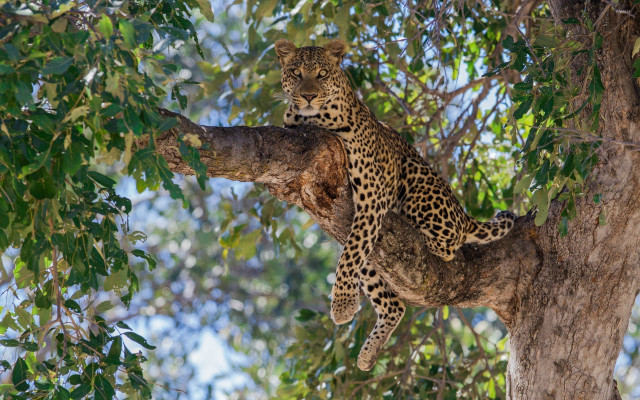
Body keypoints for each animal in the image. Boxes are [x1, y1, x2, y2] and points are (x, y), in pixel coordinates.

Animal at [275, 38, 516, 371]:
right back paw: (368, 354)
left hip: (416, 180)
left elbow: (348, 256)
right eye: (296, 73)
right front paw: (346, 305)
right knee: (393, 304)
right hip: (373, 256)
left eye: (322, 74)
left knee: (447, 245)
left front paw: (342, 305)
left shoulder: (372, 196)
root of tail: (463, 213)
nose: (308, 96)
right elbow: (351, 255)